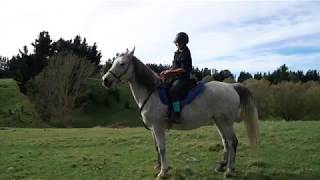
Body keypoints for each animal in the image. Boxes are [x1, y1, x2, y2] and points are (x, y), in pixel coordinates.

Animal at [102, 47, 260, 179]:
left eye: (122, 64)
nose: (105, 80)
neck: (151, 93)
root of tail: (232, 87)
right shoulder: (153, 129)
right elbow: (156, 147)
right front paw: (159, 166)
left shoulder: (158, 127)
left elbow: (162, 148)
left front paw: (163, 172)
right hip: (218, 121)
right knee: (225, 141)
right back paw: (221, 166)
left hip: (225, 122)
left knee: (233, 142)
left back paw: (229, 170)